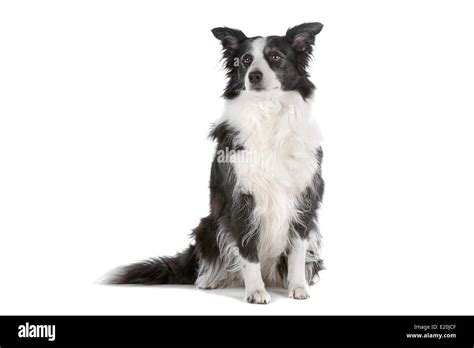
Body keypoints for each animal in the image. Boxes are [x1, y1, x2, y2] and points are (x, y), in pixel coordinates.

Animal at [110, 23, 326, 304]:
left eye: (276, 56)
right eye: (245, 60)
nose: (254, 76)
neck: (267, 112)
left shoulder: (304, 197)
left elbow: (297, 250)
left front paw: (298, 286)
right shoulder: (241, 197)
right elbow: (248, 251)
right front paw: (256, 291)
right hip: (209, 224)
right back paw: (209, 280)